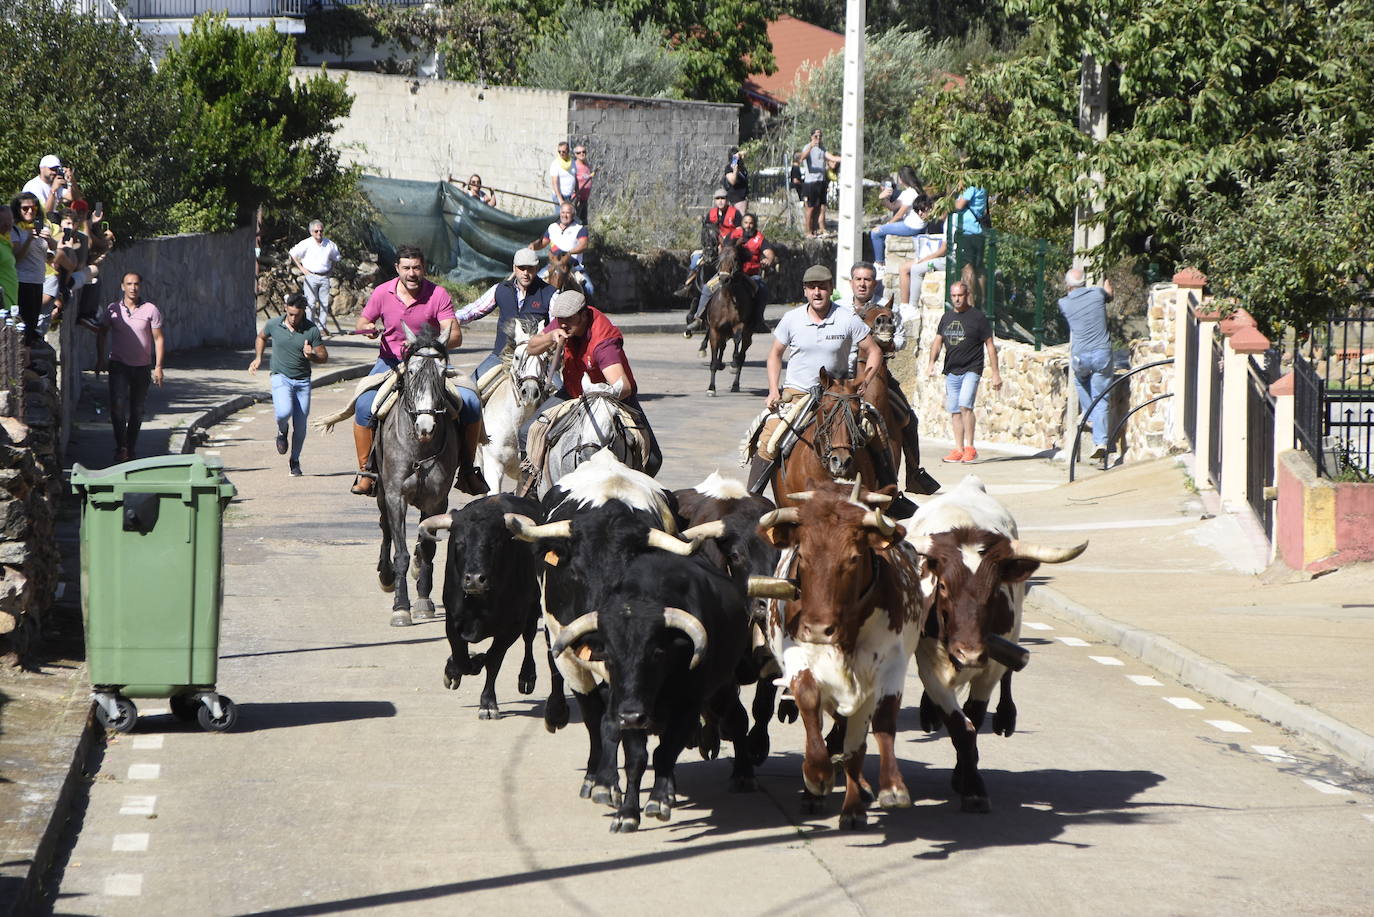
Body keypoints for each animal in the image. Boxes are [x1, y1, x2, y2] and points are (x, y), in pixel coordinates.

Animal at [376, 324, 461, 632]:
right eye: (411, 371)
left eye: (443, 372)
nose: (426, 426)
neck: (419, 447)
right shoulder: (395, 496)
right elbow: (400, 551)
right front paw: (401, 608)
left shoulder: (436, 500)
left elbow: (427, 549)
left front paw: (423, 601)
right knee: (385, 528)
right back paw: (386, 575)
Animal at [703, 239, 758, 395]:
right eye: (719, 259)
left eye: (735, 259)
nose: (724, 279)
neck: (728, 299)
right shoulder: (715, 330)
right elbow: (715, 356)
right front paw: (711, 388)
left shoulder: (739, 325)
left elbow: (737, 340)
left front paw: (733, 364)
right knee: (722, 347)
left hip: (748, 334)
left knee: (742, 355)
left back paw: (735, 383)